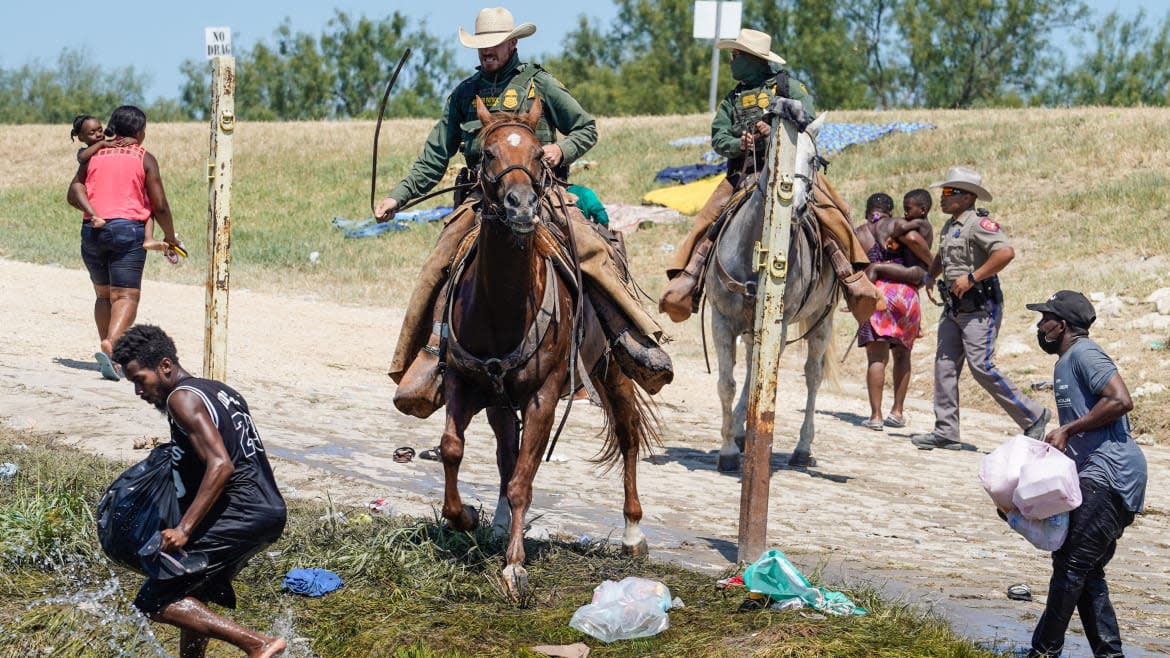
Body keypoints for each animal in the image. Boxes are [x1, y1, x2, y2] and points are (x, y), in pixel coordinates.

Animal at [439, 96, 659, 594]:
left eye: (540, 155)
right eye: (487, 153)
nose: (521, 206)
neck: (502, 307)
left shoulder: (543, 396)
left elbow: (525, 478)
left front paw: (515, 567)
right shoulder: (464, 381)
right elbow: (454, 449)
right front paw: (464, 517)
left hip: (612, 371)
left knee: (628, 434)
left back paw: (633, 532)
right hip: (500, 401)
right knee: (506, 453)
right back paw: (501, 522)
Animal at [702, 114, 842, 470]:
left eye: (814, 160)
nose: (797, 207)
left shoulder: (778, 325)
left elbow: (762, 381)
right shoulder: (722, 320)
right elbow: (727, 384)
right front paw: (728, 449)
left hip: (822, 320)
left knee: (812, 376)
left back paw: (802, 448)